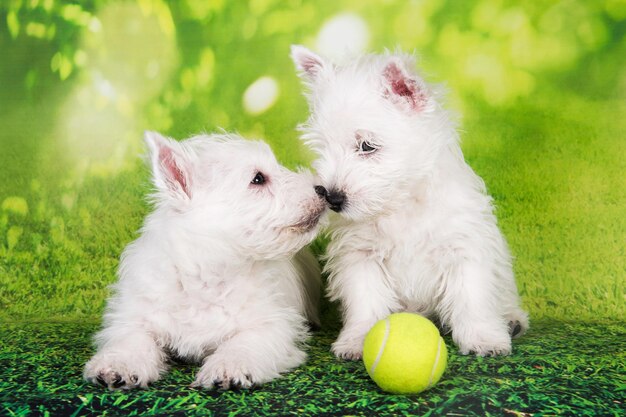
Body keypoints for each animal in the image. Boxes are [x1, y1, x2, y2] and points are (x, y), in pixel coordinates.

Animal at [83, 132, 324, 388]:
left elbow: (244, 342)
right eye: (258, 179)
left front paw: (228, 368)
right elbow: (132, 340)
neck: (206, 275)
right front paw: (116, 365)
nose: (322, 189)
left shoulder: (271, 324)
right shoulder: (136, 317)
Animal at [292, 45, 528, 358]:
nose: (332, 198)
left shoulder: (463, 248)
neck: (402, 203)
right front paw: (356, 340)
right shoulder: (360, 255)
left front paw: (484, 340)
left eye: (367, 146)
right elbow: (365, 302)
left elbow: (471, 298)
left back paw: (512, 320)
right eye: (322, 147)